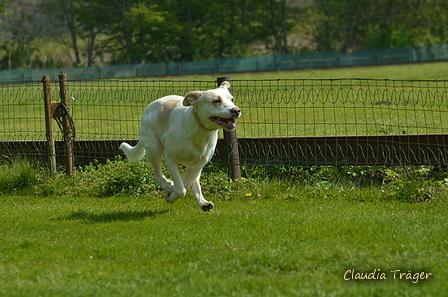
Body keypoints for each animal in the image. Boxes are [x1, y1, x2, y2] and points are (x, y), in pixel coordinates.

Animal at [117, 81, 240, 210]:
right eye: (216, 100)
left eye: (232, 99)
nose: (236, 110)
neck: (198, 130)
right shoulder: (171, 160)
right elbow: (181, 189)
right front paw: (171, 195)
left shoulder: (197, 165)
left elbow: (185, 184)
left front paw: (173, 193)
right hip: (154, 147)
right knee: (157, 174)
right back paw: (168, 185)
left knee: (194, 183)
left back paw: (203, 203)